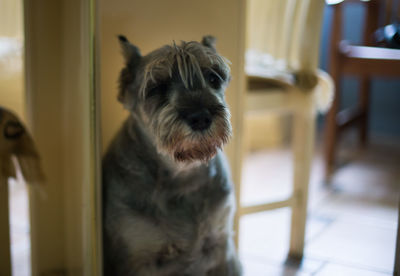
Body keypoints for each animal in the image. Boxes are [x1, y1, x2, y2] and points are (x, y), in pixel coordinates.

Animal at [102, 35, 241, 276]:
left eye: (213, 78)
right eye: (157, 87)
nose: (201, 117)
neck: (182, 175)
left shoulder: (221, 248)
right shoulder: (138, 259)